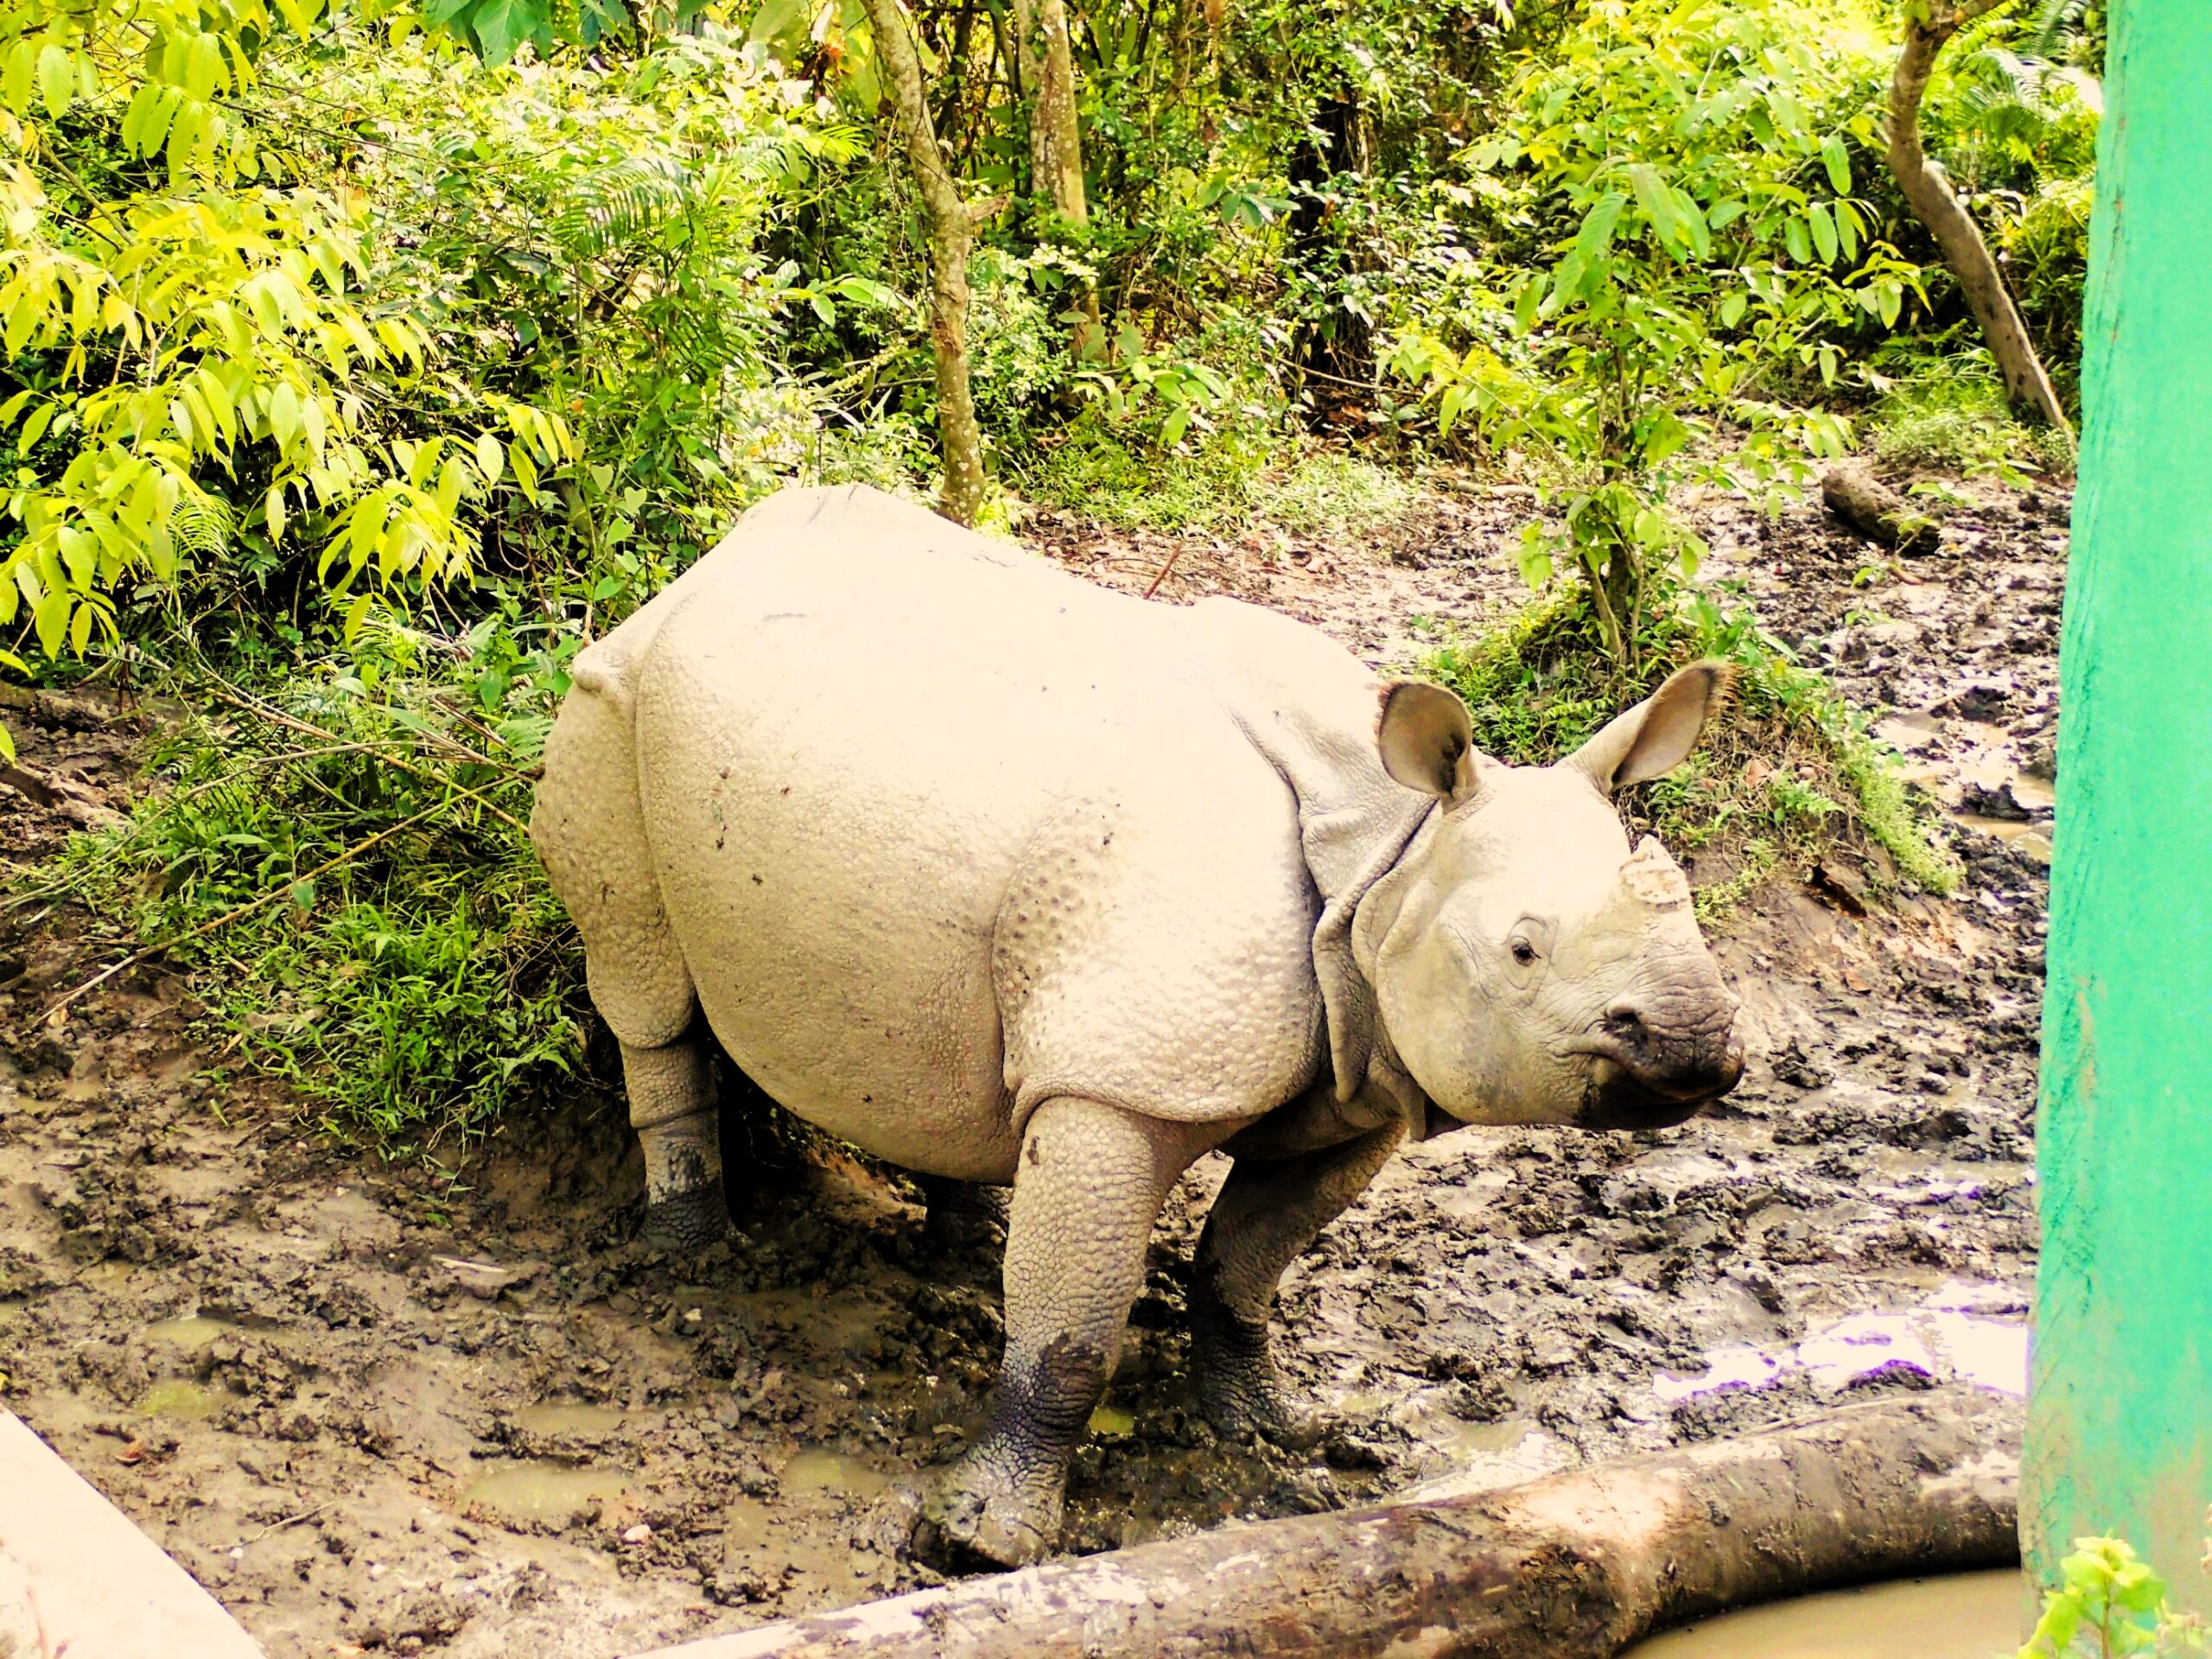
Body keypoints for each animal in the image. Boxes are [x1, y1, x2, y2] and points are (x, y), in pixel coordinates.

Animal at [530, 484, 1743, 1567]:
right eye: (1522, 950)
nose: (1697, 1042)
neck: (1389, 854)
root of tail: (706, 564)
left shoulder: (1356, 1079)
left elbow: (1248, 1262)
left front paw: (1271, 1428)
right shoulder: (1126, 1080)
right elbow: (1075, 1321)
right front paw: (980, 1543)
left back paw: (960, 1250)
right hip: (607, 703)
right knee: (643, 982)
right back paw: (691, 1267)